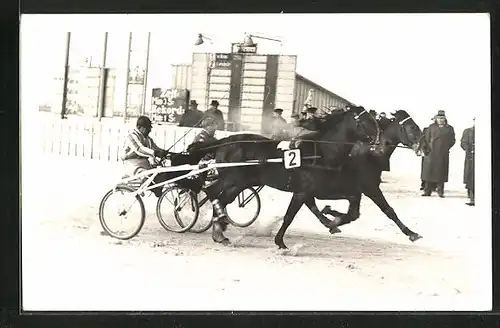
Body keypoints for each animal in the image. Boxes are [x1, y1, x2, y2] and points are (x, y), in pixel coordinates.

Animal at [186, 104, 380, 243]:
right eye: (366, 122)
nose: (378, 141)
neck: (320, 153)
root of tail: (225, 141)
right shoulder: (302, 192)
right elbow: (289, 216)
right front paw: (280, 242)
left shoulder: (319, 190)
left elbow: (347, 206)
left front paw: (333, 222)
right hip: (232, 178)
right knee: (212, 192)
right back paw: (219, 224)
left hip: (241, 182)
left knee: (222, 197)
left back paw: (219, 231)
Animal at [282, 109, 426, 247]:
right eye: (412, 127)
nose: (424, 147)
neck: (370, 154)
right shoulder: (370, 188)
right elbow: (387, 210)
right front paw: (411, 233)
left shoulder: (355, 191)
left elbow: (352, 214)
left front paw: (331, 213)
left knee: (310, 202)